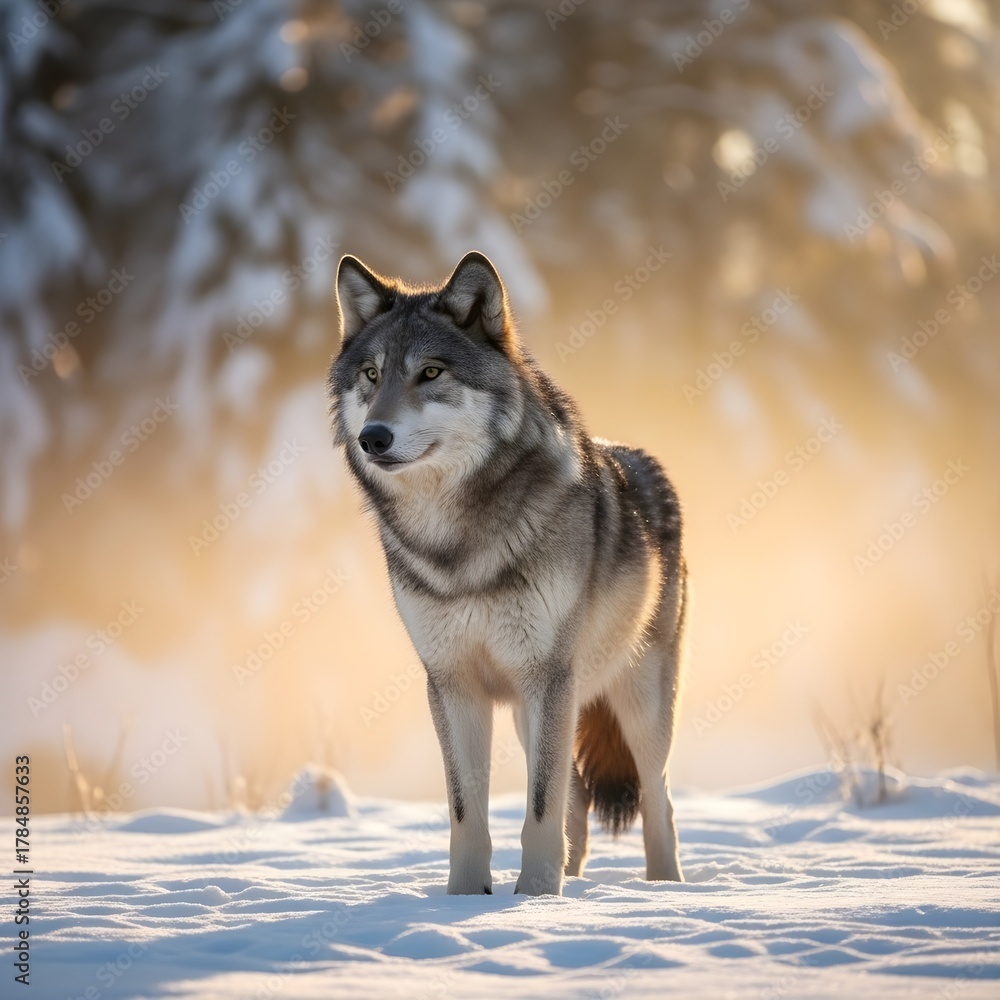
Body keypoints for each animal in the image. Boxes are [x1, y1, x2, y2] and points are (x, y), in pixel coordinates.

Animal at [327, 251, 687, 896]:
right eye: (371, 374)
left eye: (431, 373)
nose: (373, 438)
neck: (458, 544)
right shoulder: (452, 682)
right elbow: (467, 811)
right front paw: (467, 900)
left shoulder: (546, 676)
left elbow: (539, 807)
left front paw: (535, 899)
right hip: (534, 710)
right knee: (577, 798)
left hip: (636, 701)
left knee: (657, 799)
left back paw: (663, 889)